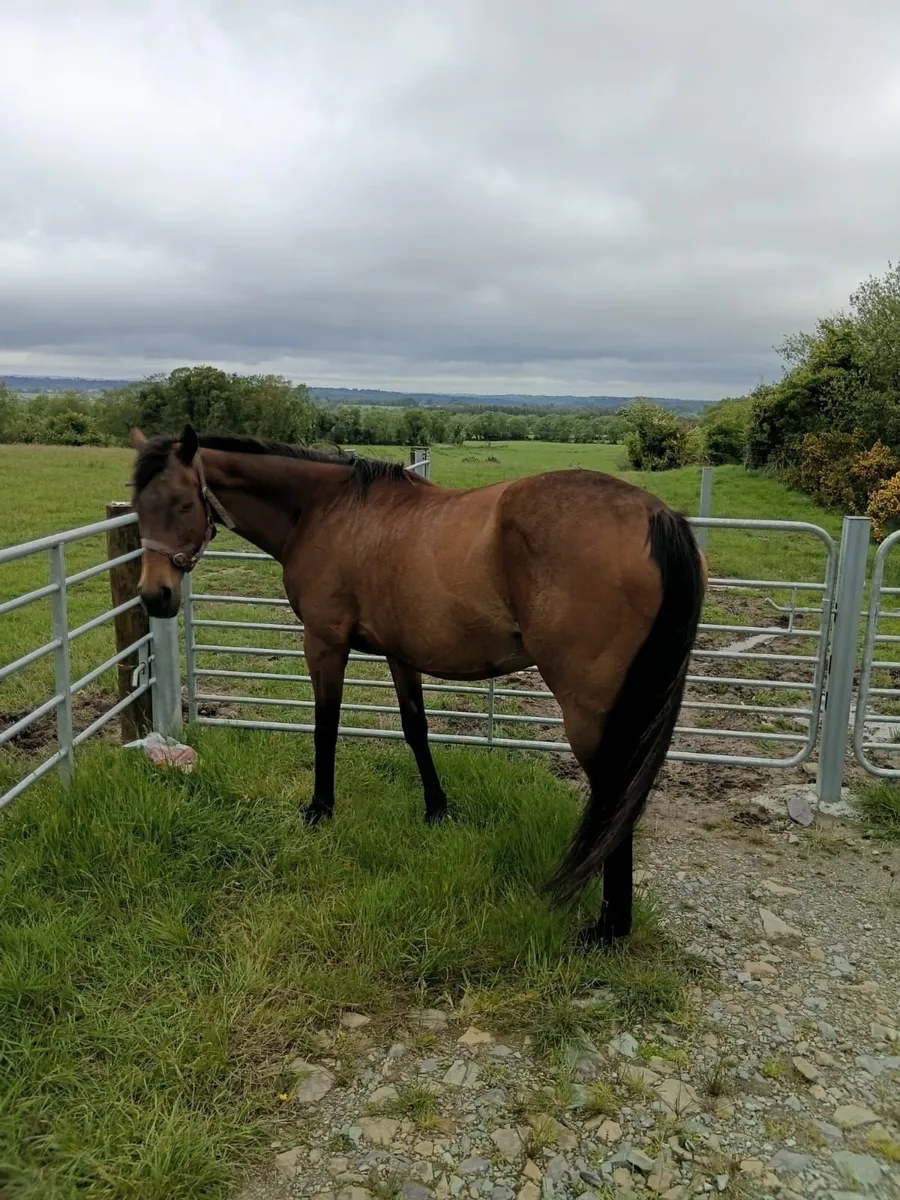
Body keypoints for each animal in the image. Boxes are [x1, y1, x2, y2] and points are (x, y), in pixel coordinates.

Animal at [128, 424, 706, 945]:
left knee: (614, 791)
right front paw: (436, 809)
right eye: (138, 506)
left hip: (589, 706)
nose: (155, 597)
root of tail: (654, 515)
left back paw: (609, 927)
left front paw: (320, 809)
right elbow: (415, 728)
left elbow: (326, 726)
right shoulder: (401, 652)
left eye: (182, 504)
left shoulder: (324, 642)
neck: (324, 510)